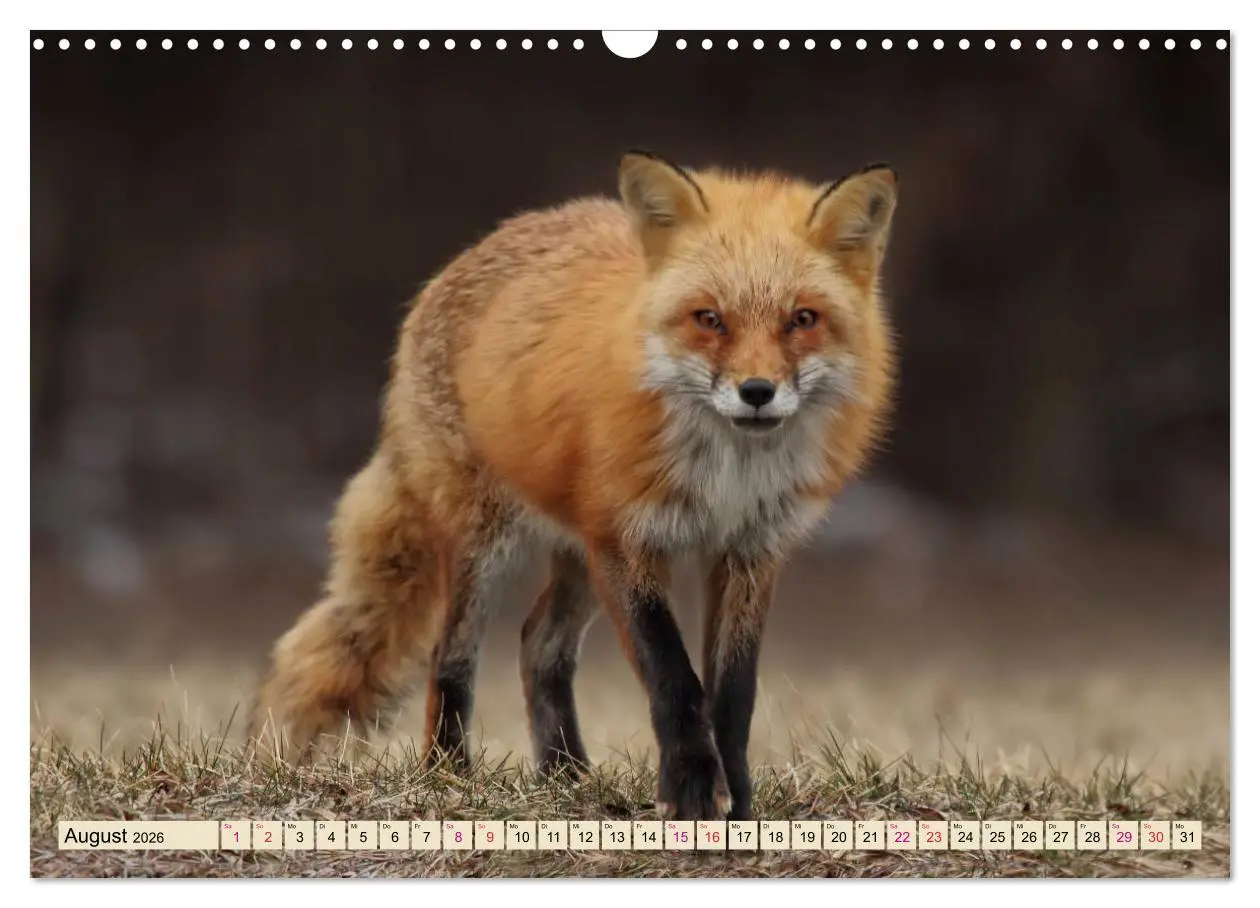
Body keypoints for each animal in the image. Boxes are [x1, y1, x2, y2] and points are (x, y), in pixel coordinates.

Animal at [249, 150, 898, 821]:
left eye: (803, 320)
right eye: (710, 319)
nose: (757, 392)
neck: (727, 474)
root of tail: (474, 251)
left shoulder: (750, 551)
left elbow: (733, 696)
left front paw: (737, 803)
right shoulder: (627, 538)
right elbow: (674, 678)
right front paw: (691, 792)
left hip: (579, 554)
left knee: (538, 645)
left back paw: (566, 776)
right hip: (489, 543)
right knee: (449, 656)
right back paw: (449, 774)